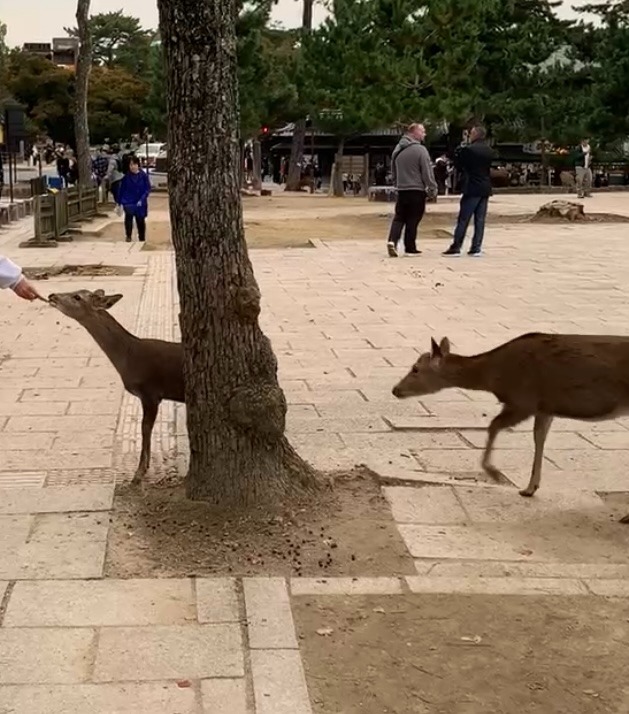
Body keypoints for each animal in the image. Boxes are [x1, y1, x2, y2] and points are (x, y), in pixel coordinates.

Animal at [48, 289, 184, 484]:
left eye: (77, 297)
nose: (52, 295)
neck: (130, 357)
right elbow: (146, 429)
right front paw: (144, 467)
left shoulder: (150, 392)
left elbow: (145, 428)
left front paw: (138, 473)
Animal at [392, 333, 629, 523]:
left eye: (415, 369)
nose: (395, 390)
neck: (493, 376)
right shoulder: (544, 406)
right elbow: (539, 437)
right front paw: (530, 487)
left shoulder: (523, 400)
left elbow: (493, 426)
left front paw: (494, 472)